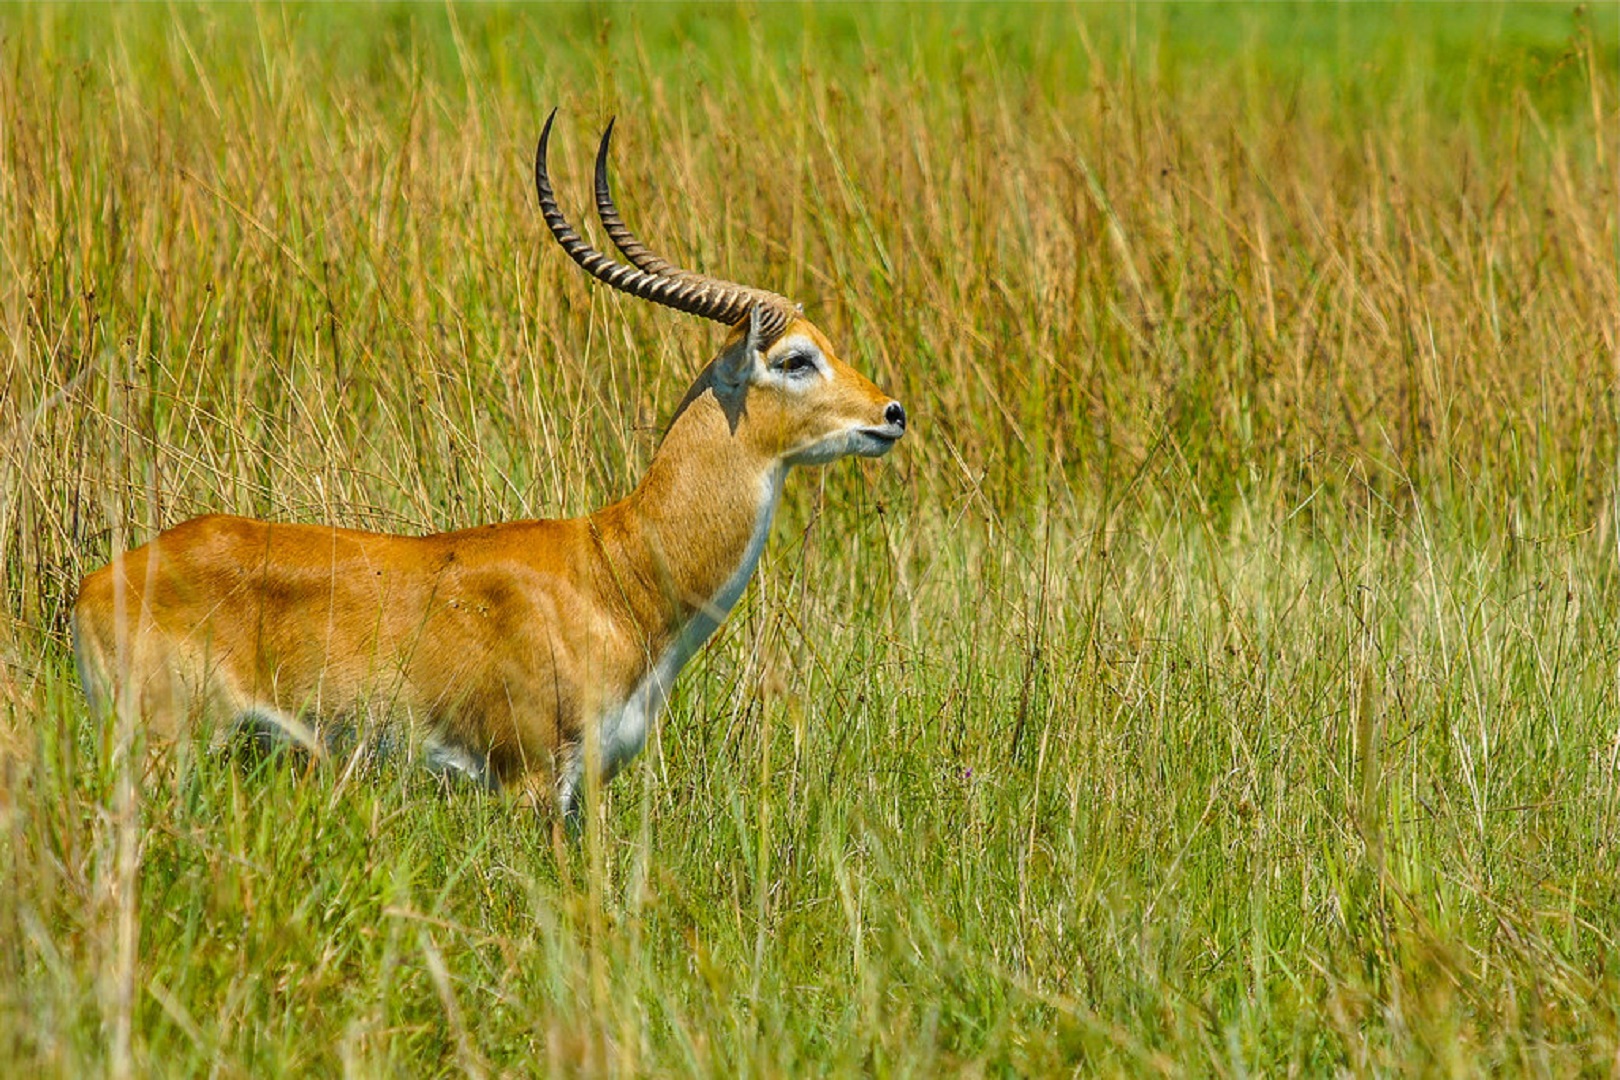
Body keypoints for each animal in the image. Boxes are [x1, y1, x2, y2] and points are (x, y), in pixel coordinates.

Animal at [76, 110, 907, 822]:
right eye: (796, 358)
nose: (892, 413)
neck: (615, 571)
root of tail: (98, 582)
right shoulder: (531, 781)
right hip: (166, 752)